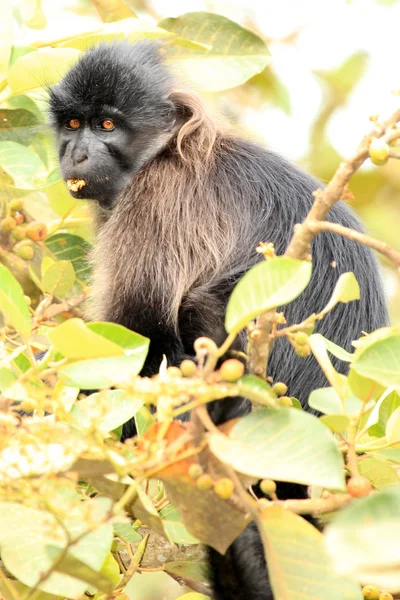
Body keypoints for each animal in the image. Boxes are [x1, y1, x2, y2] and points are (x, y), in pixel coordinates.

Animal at [48, 42, 390, 600]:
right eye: (74, 123)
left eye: (106, 125)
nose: (75, 154)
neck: (166, 150)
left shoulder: (159, 195)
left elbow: (143, 340)